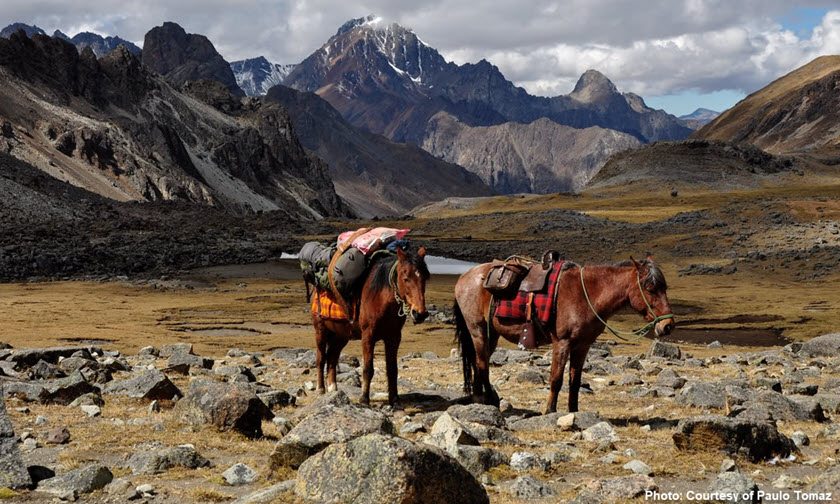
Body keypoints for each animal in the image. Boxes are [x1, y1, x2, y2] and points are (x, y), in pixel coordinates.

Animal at [312, 246, 430, 408]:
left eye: (425, 278)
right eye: (405, 278)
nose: (420, 314)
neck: (381, 299)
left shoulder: (394, 337)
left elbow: (392, 369)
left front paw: (395, 401)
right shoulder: (368, 335)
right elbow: (368, 368)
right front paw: (364, 399)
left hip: (341, 336)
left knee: (332, 358)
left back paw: (333, 389)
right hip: (321, 331)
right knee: (321, 358)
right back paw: (320, 389)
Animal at [452, 256, 676, 414]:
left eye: (665, 287)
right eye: (649, 288)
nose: (667, 326)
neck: (586, 295)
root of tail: (464, 277)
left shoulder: (583, 345)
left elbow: (574, 382)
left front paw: (573, 411)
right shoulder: (562, 342)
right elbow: (556, 378)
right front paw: (550, 411)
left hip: (492, 335)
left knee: (478, 363)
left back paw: (481, 400)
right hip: (478, 331)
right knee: (482, 364)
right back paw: (489, 400)